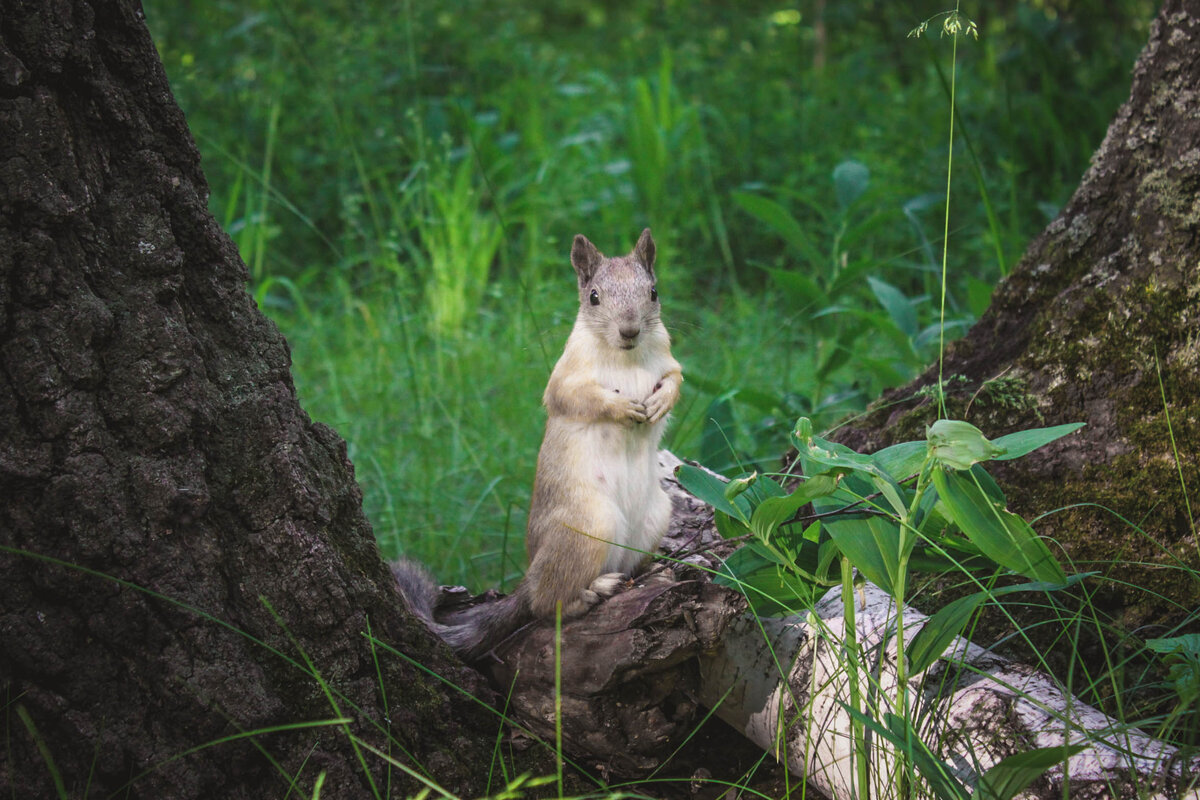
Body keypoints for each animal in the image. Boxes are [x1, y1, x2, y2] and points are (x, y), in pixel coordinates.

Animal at [391, 227, 681, 662]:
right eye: (593, 296)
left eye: (653, 291)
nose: (629, 331)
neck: (626, 357)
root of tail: (528, 577)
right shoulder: (565, 377)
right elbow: (576, 398)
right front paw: (621, 407)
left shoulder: (668, 360)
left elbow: (676, 380)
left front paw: (660, 402)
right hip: (588, 526)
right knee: (545, 604)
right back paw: (589, 593)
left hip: (656, 516)